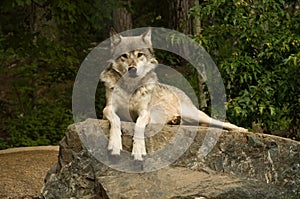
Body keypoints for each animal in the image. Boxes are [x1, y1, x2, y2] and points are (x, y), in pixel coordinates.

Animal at [99, 29, 247, 160]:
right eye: (124, 56)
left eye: (139, 54)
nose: (132, 69)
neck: (130, 87)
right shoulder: (108, 109)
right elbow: (116, 120)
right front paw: (115, 144)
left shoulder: (144, 113)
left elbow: (139, 125)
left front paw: (138, 149)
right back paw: (175, 120)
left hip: (195, 114)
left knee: (219, 122)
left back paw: (241, 129)